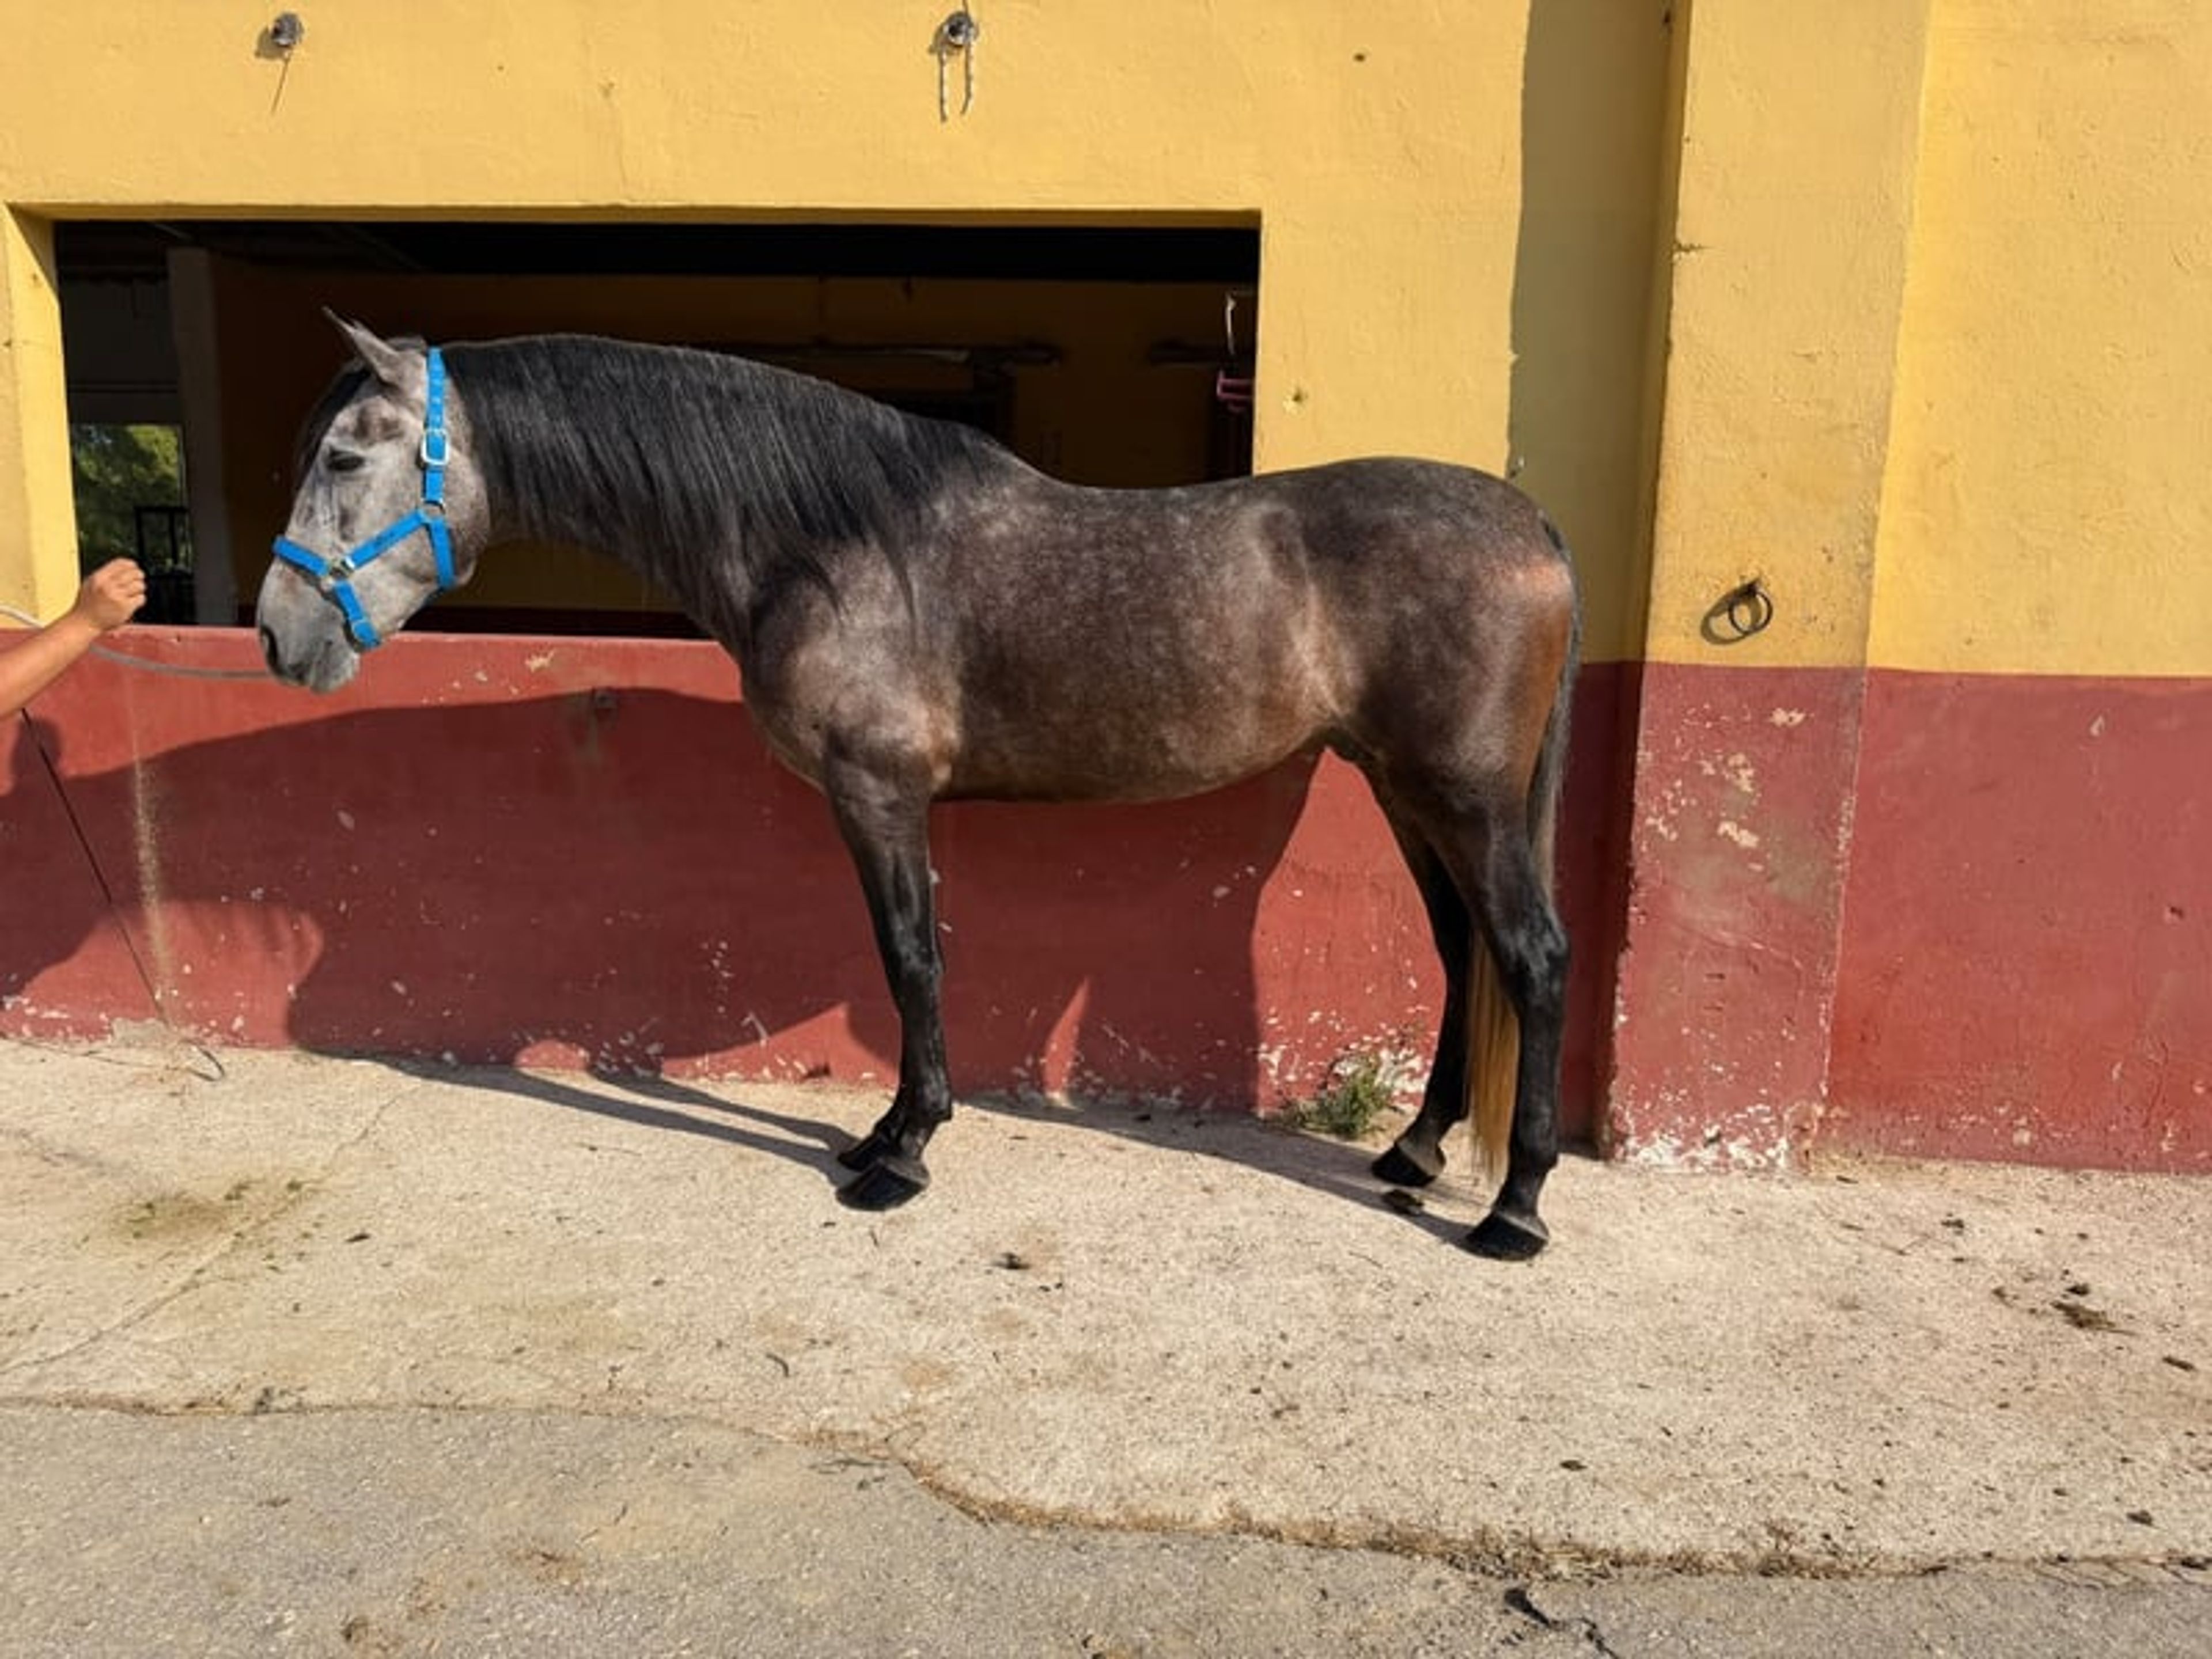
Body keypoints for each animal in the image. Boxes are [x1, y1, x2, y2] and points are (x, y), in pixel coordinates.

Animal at [256, 317, 1581, 1259]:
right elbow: (914, 963)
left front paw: (902, 1154)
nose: (278, 635)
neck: (821, 544)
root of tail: (1536, 528)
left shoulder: (878, 794)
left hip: (1467, 801)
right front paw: (889, 1135)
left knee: (1531, 960)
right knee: (1462, 951)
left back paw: (1512, 1211)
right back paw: (1415, 1153)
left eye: (345, 455)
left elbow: (910, 958)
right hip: (1408, 793)